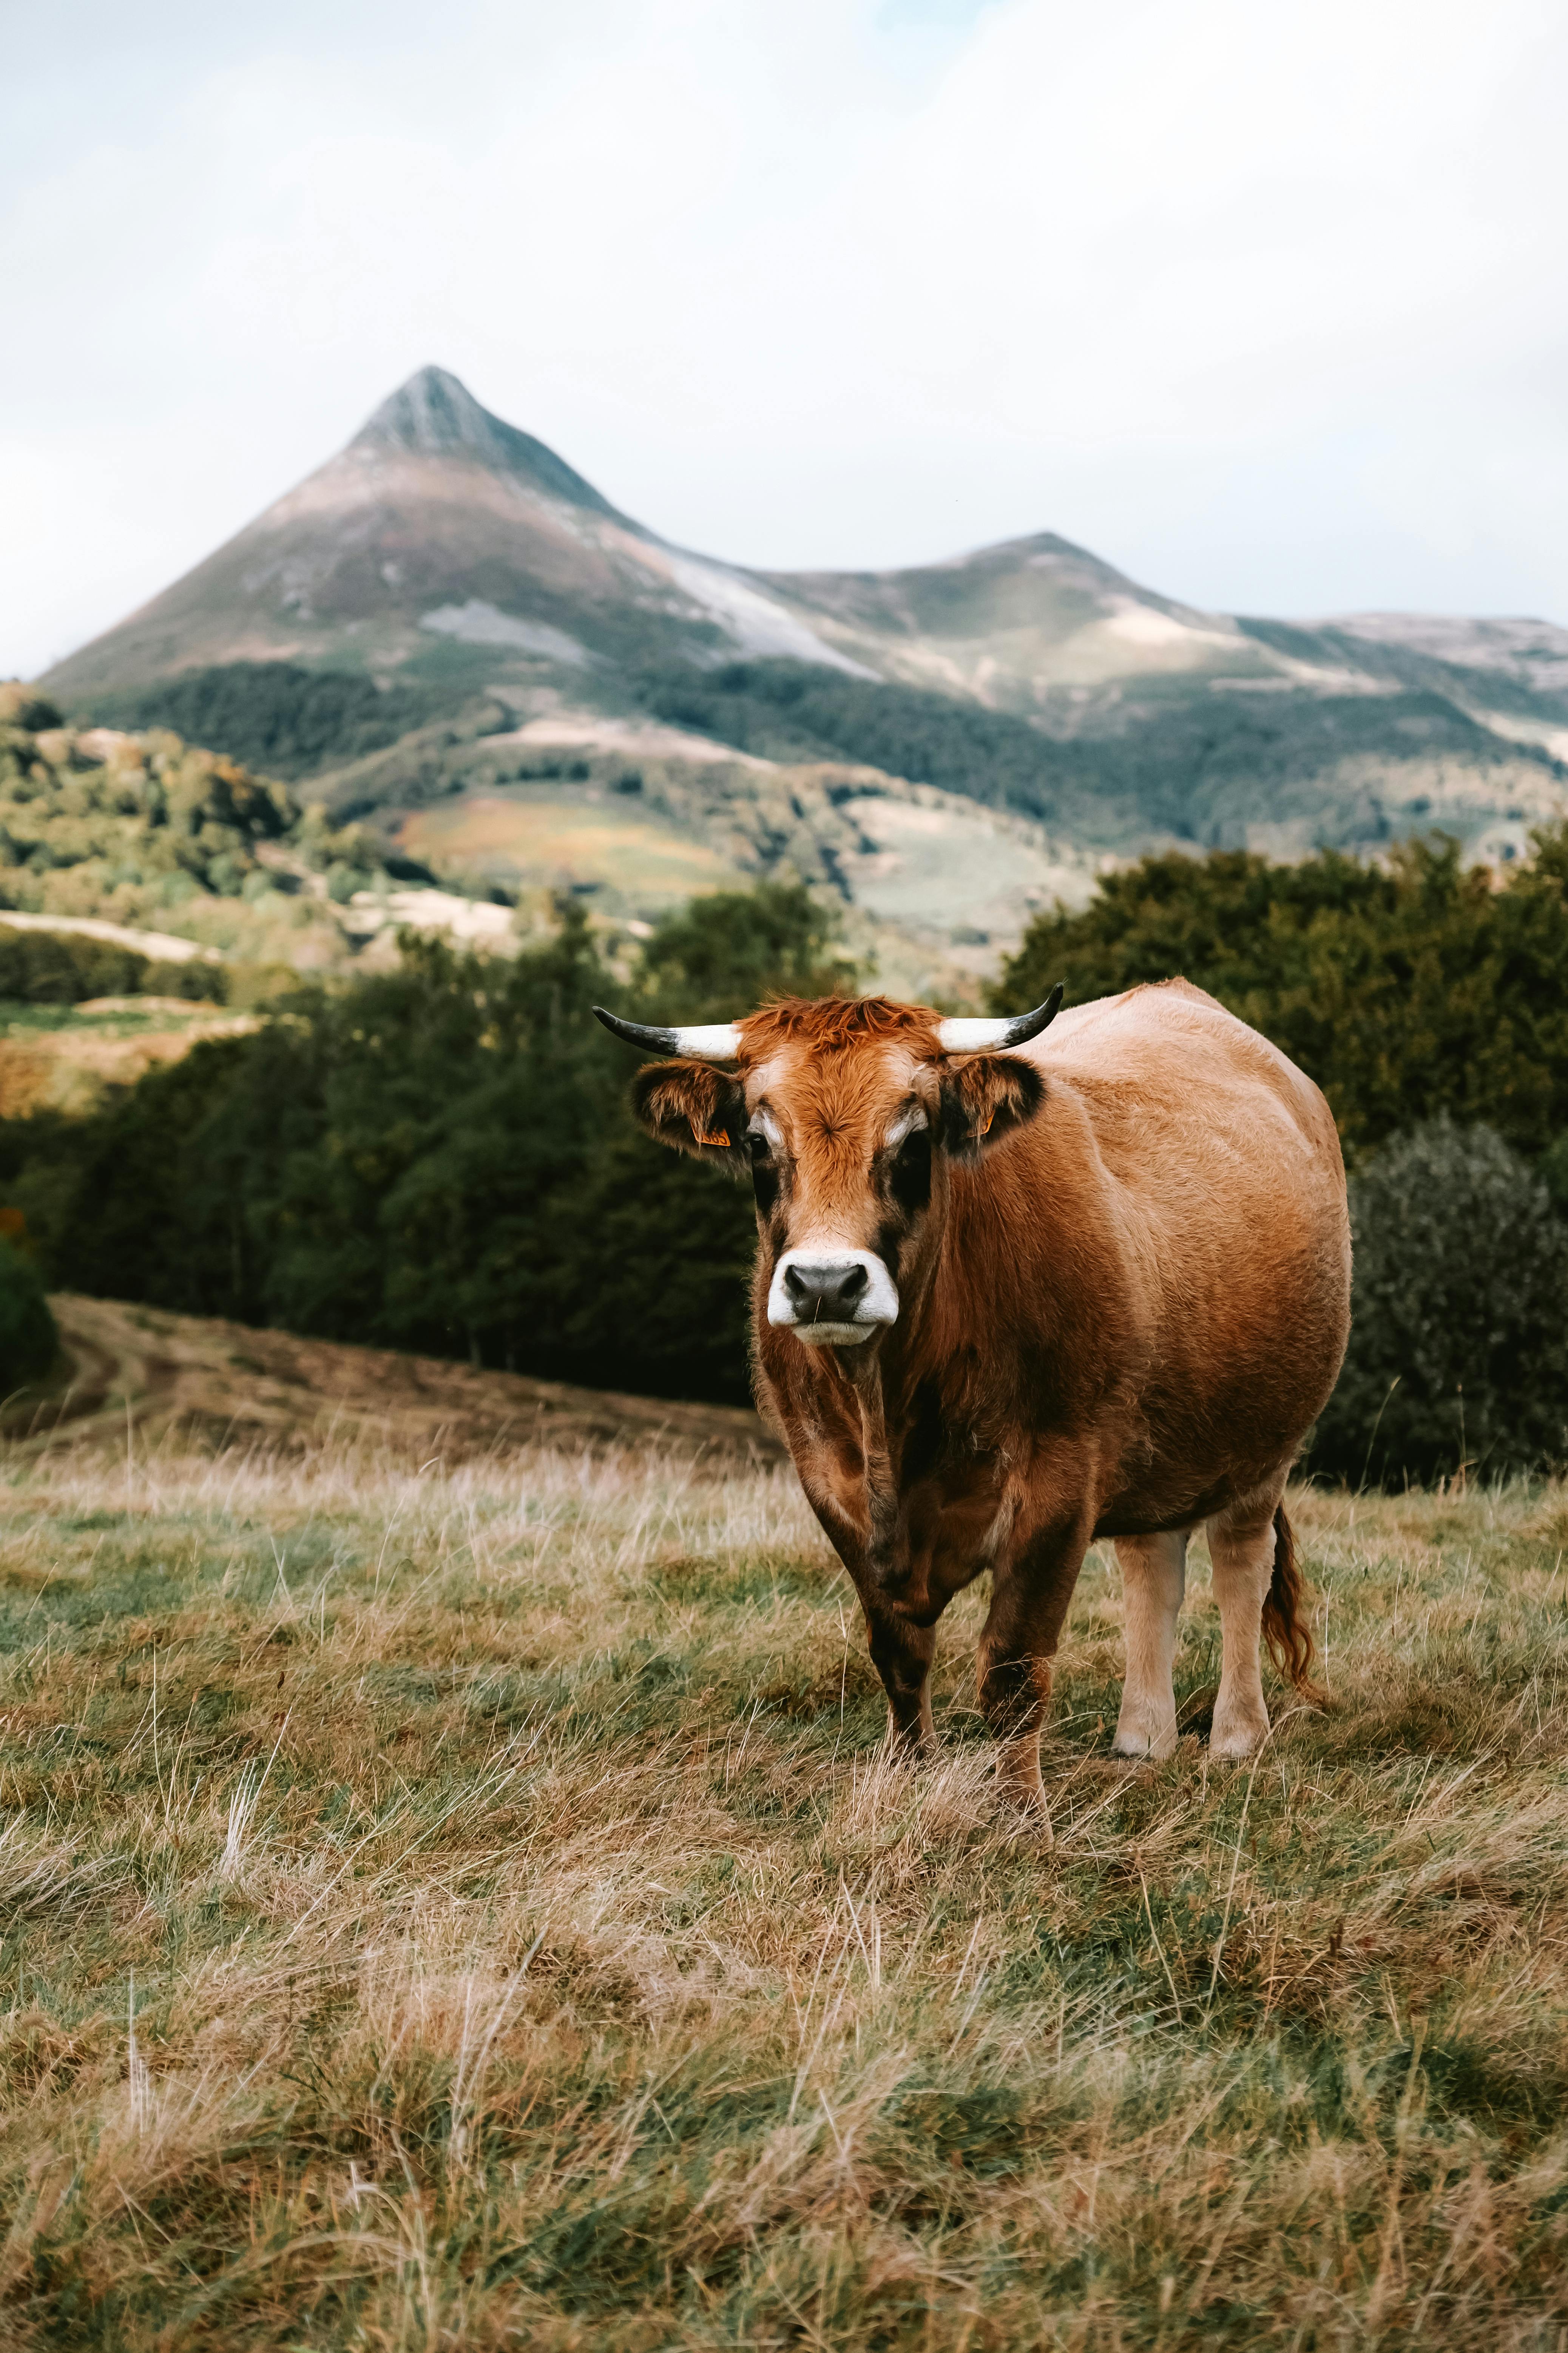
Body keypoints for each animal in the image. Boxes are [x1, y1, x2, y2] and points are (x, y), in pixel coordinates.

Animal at [594, 981, 1351, 1803]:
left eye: (915, 1141)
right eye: (759, 1143)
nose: (826, 1282)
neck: (893, 1409)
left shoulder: (1059, 1485)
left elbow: (1014, 1674)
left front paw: (1022, 1817)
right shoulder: (829, 1481)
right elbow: (898, 1655)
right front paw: (905, 1780)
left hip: (1264, 1441)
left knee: (1241, 1563)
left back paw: (1237, 1736)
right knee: (1153, 1561)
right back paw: (1142, 1739)